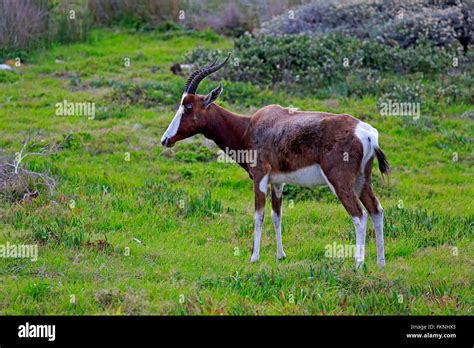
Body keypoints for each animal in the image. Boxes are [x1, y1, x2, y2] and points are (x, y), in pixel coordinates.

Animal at [161, 55, 390, 270]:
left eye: (188, 106)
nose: (165, 139)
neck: (249, 127)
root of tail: (367, 133)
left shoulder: (260, 177)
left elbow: (258, 215)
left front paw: (254, 257)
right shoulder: (278, 182)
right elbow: (276, 215)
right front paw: (280, 256)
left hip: (340, 182)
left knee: (359, 216)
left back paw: (358, 265)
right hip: (362, 180)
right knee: (376, 211)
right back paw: (380, 263)